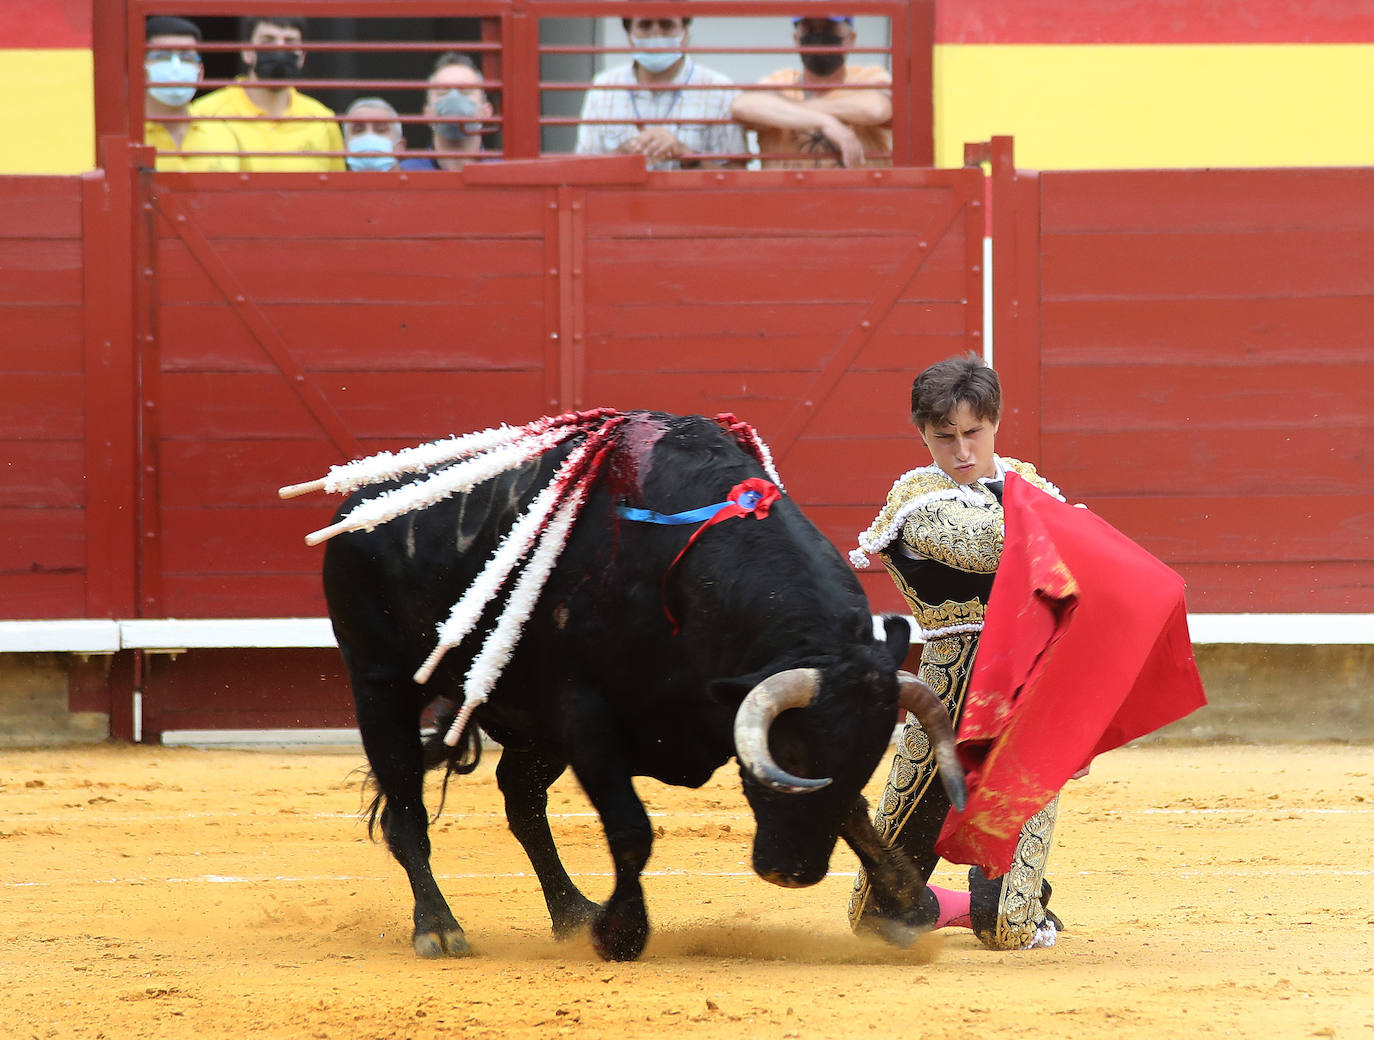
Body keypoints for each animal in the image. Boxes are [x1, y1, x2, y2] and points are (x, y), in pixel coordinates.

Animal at [321, 409, 967, 961]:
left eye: (865, 761)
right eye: (793, 758)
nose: (794, 873)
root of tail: (356, 502)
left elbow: (855, 813)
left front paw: (906, 908)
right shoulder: (586, 717)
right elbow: (631, 828)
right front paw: (621, 933)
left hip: (531, 729)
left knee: (522, 803)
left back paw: (571, 914)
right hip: (380, 686)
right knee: (407, 812)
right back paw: (439, 929)